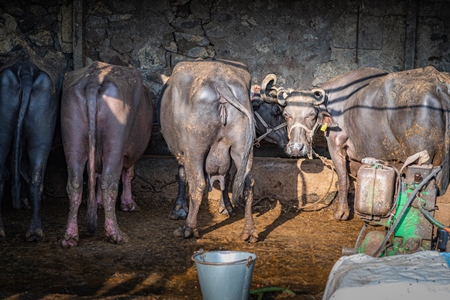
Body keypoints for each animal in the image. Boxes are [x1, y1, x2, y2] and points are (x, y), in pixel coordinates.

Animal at [60, 55, 154, 246]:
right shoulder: (129, 152)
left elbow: (95, 175)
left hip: (72, 136)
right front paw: (128, 204)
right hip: (115, 141)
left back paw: (70, 236)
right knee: (109, 182)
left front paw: (98, 203)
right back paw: (115, 234)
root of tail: (93, 80)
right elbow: (128, 175)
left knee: (75, 183)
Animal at [260, 66, 450, 220]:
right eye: (286, 114)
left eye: (311, 115)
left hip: (422, 161)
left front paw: (342, 213)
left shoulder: (336, 145)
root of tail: (438, 85)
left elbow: (343, 178)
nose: (296, 148)